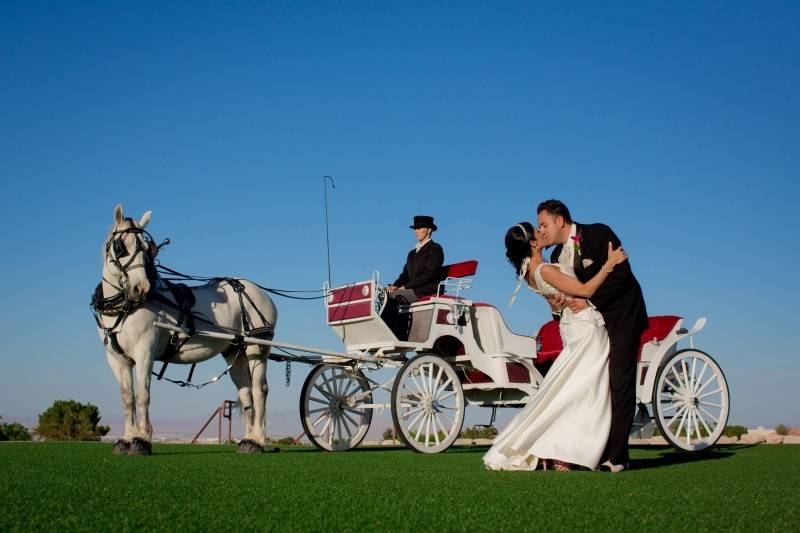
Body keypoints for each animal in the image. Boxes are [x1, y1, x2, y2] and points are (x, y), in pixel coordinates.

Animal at [94, 206, 278, 456]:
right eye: (120, 246)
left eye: (147, 249)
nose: (141, 288)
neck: (124, 308)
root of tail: (262, 293)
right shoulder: (116, 359)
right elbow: (127, 398)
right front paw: (126, 439)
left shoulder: (145, 351)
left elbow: (142, 394)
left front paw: (141, 440)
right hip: (234, 351)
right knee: (246, 392)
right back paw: (248, 440)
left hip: (256, 348)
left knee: (260, 390)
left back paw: (259, 440)